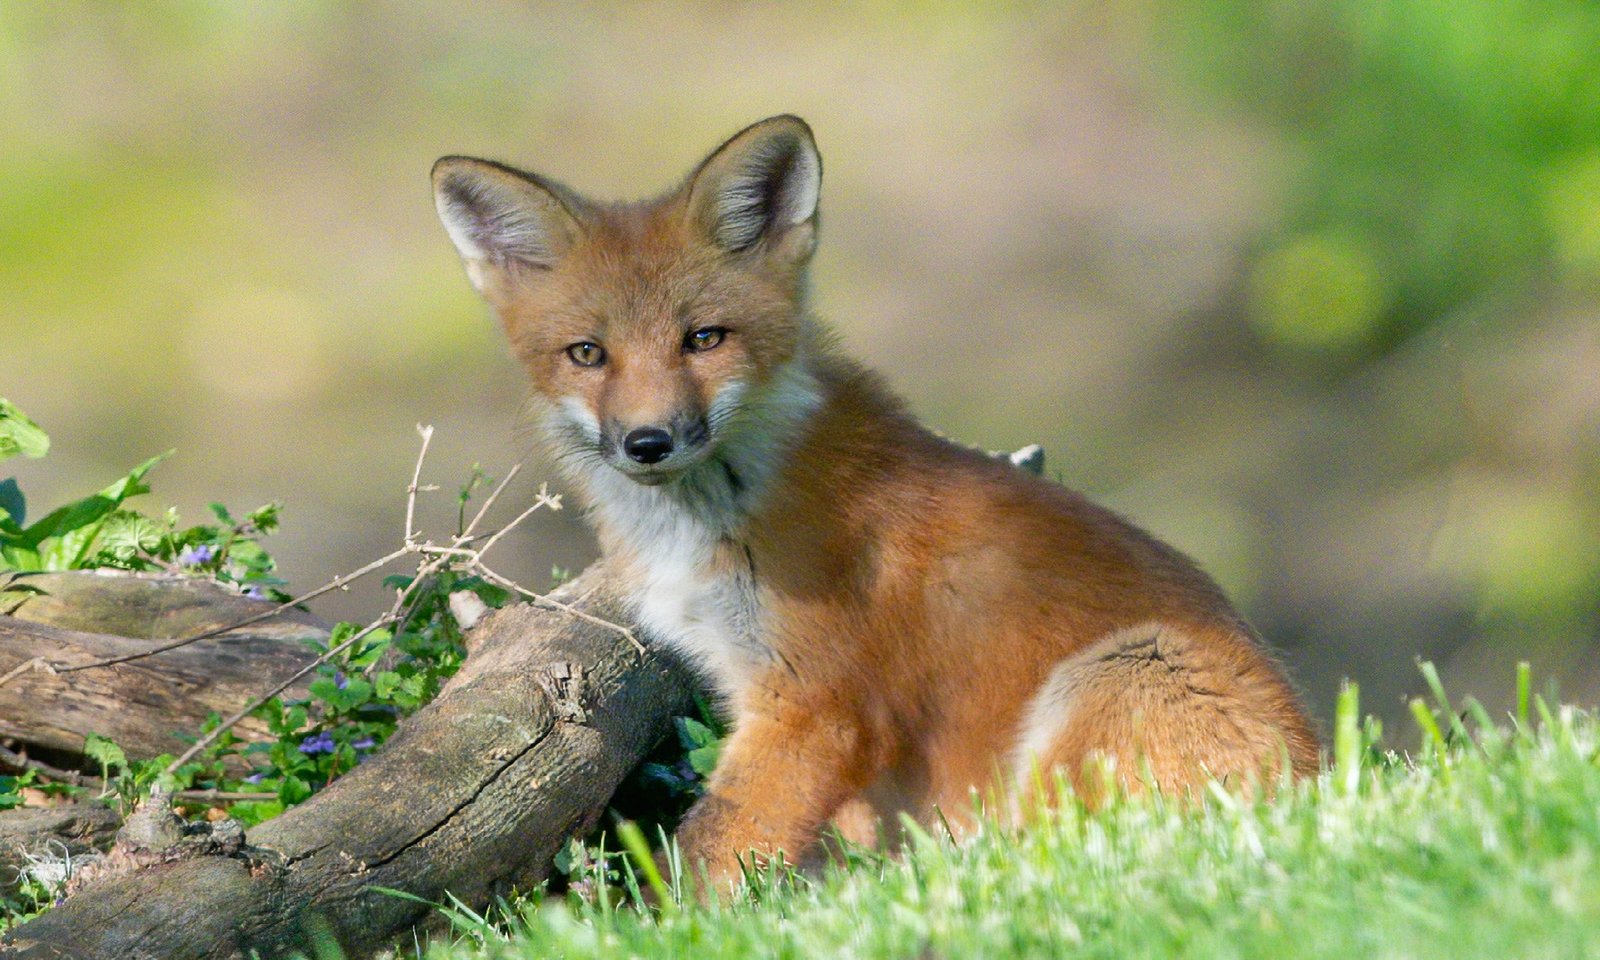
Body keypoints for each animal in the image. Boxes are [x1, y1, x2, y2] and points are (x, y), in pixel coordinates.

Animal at [432, 114, 1318, 889]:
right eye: (588, 354)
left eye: (704, 339)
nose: (648, 441)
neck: (715, 514)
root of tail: (1320, 773)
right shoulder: (761, 692)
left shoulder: (817, 706)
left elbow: (707, 856)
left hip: (1121, 671)